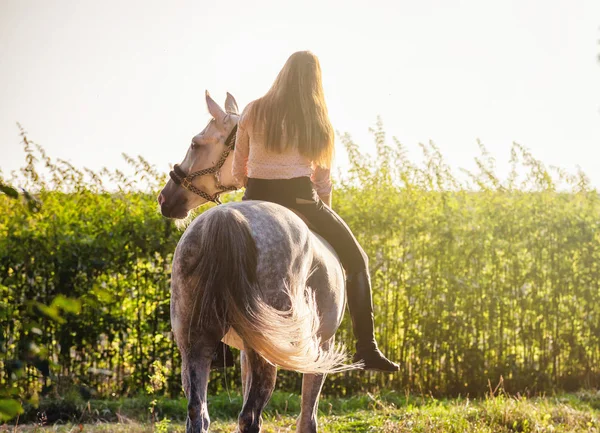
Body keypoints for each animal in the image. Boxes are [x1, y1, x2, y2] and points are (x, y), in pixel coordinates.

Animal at [159, 89, 356, 430]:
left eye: (196, 143)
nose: (165, 199)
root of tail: (226, 217)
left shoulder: (243, 352)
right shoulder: (322, 345)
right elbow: (308, 417)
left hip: (193, 343)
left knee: (198, 413)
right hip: (268, 347)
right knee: (249, 416)